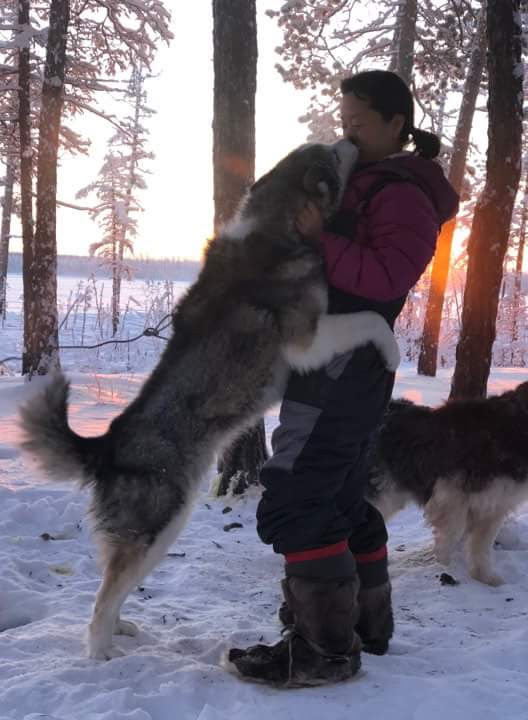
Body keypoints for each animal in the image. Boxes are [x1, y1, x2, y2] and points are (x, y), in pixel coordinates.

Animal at [20, 138, 400, 660]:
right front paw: (393, 349)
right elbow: (371, 320)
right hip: (158, 524)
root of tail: (108, 445)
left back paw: (121, 630)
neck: (277, 224)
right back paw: (100, 652)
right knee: (103, 596)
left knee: (114, 588)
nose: (352, 141)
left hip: (163, 530)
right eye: (330, 152)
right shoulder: (309, 339)